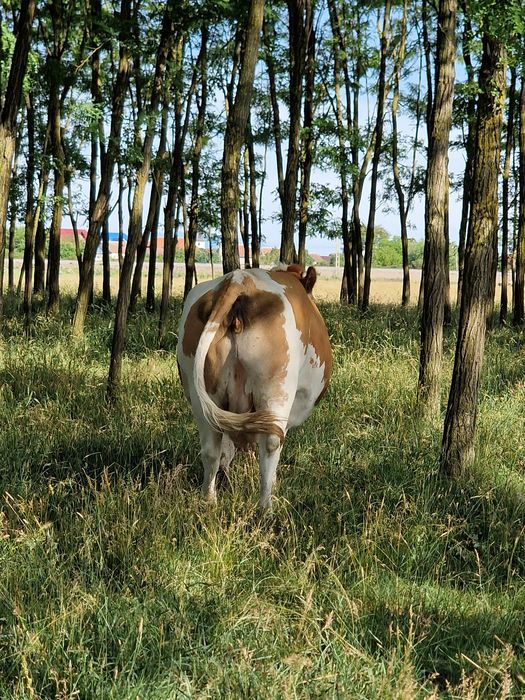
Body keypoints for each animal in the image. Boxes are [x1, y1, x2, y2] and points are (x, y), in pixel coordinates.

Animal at [176, 263, 332, 511]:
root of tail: (240, 280)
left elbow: (226, 449)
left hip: (201, 397)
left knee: (211, 448)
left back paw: (209, 499)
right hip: (275, 391)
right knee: (271, 443)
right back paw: (266, 507)